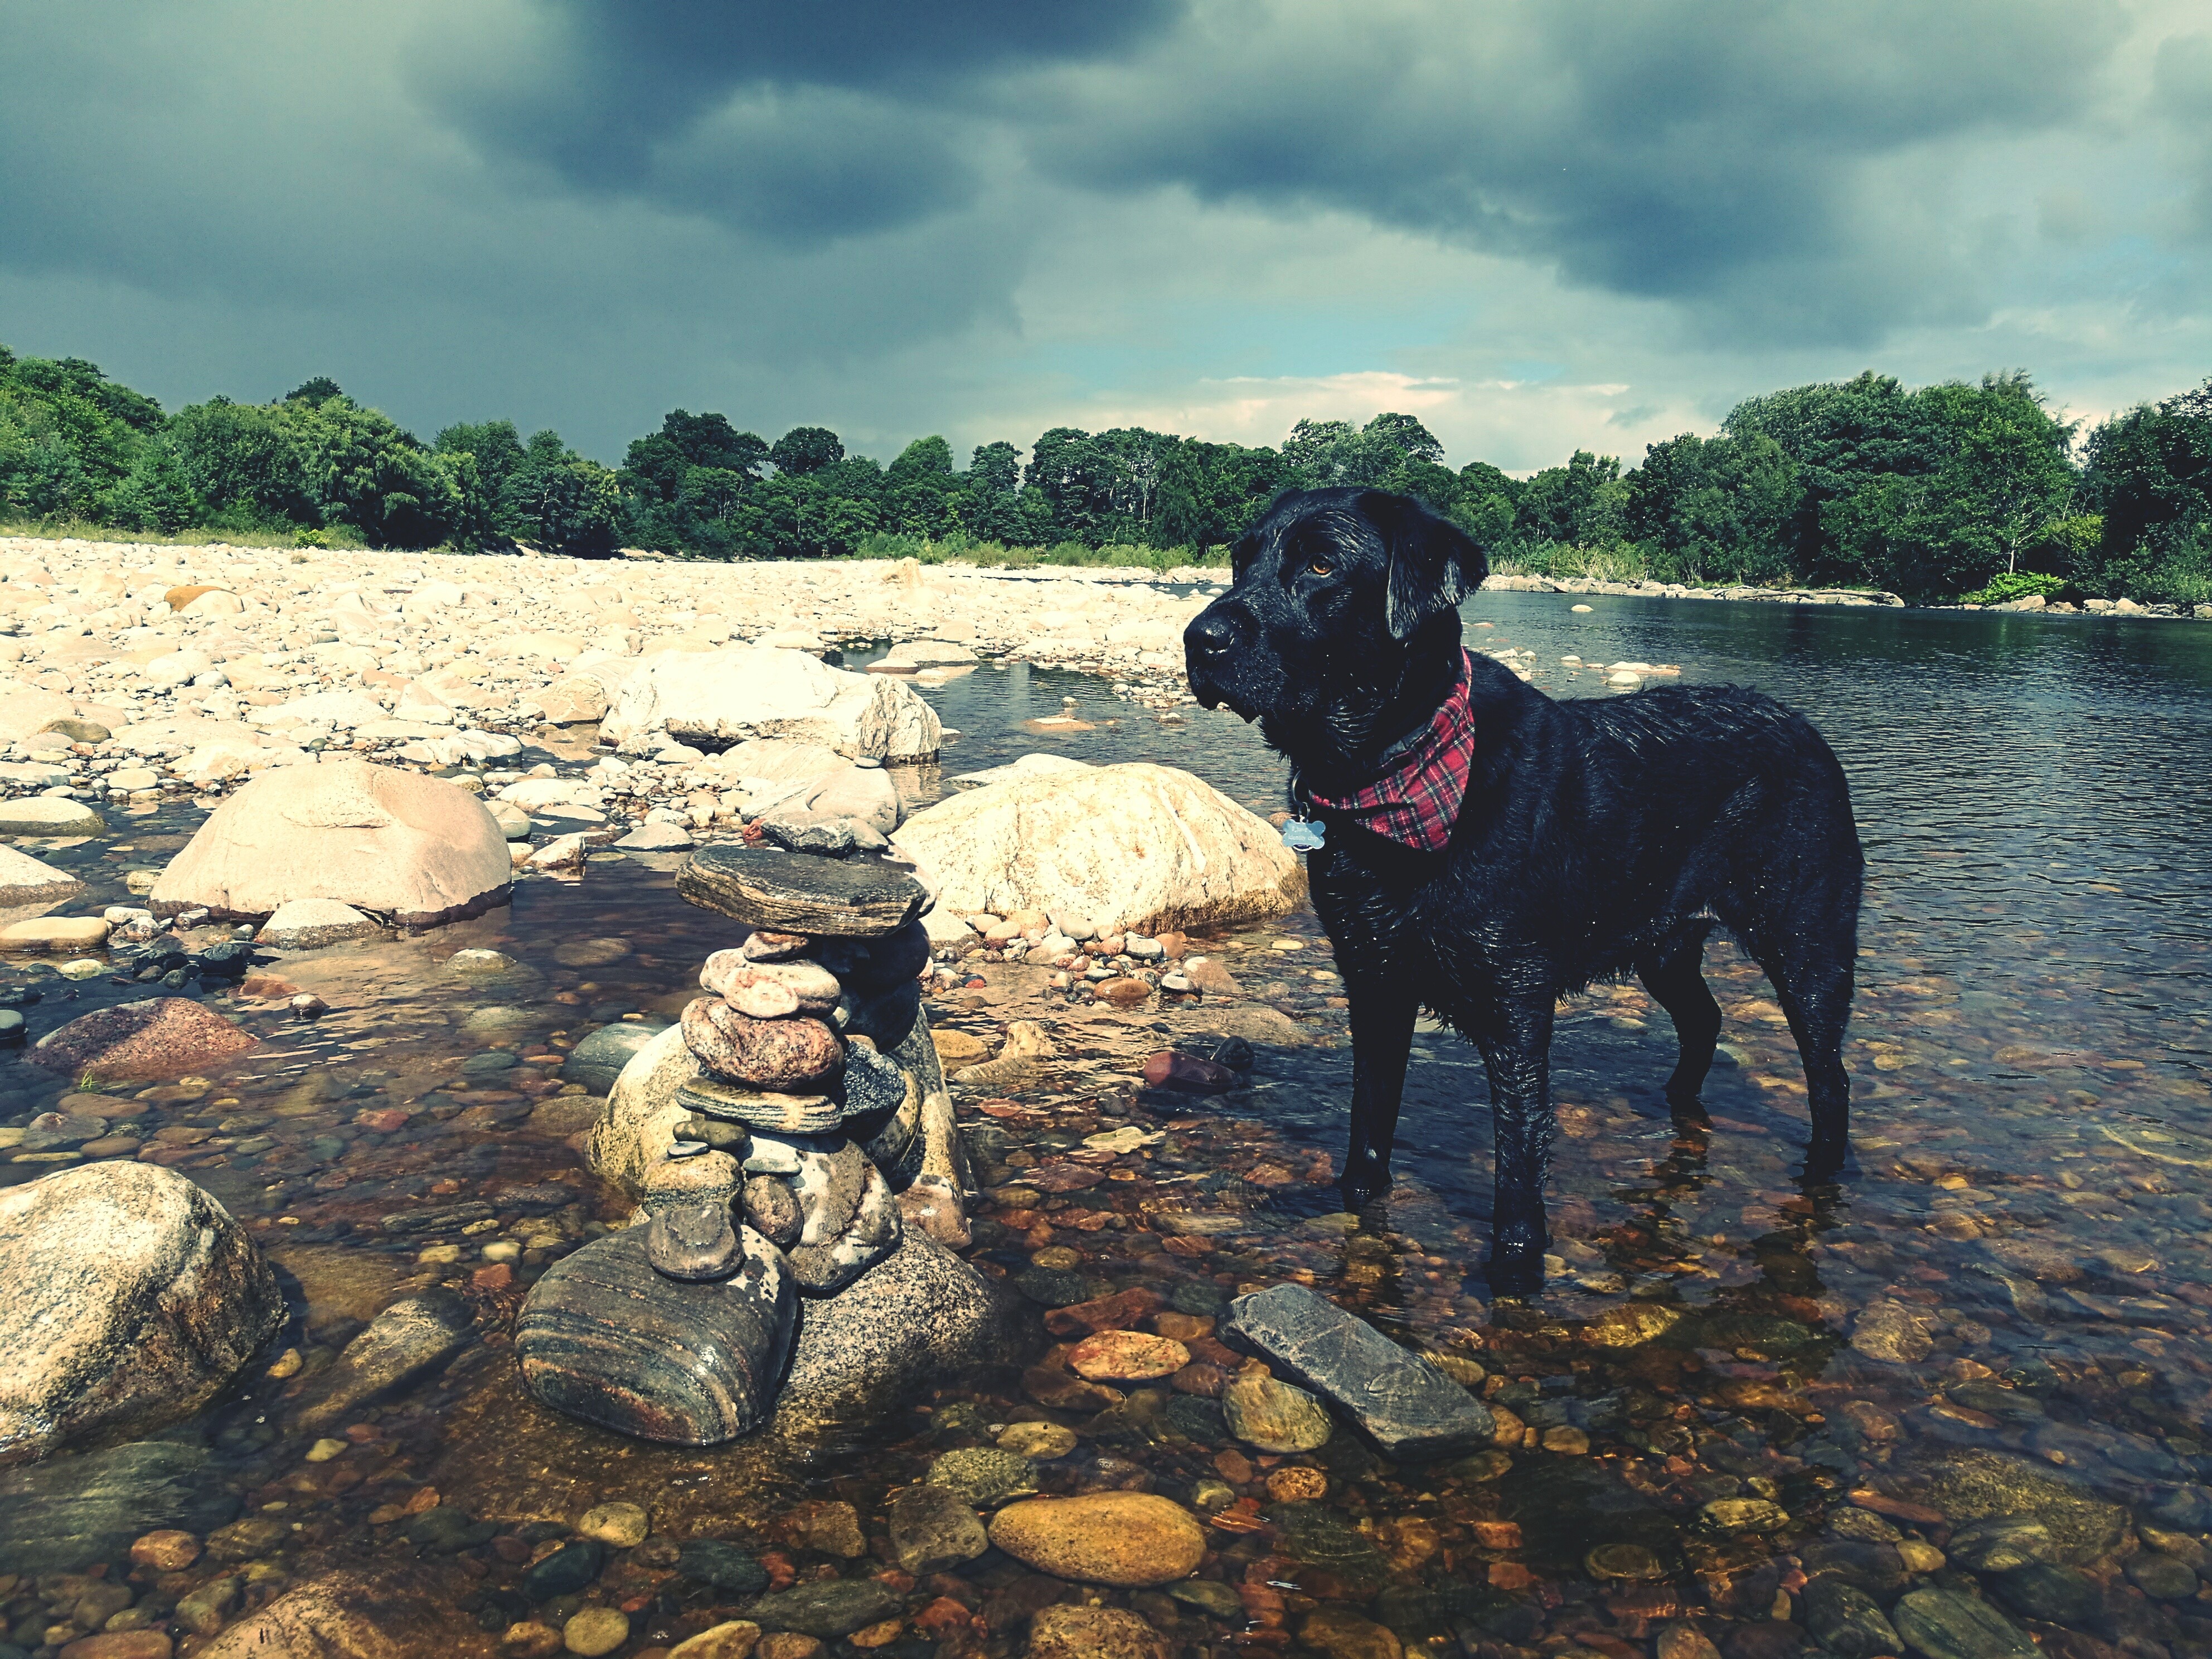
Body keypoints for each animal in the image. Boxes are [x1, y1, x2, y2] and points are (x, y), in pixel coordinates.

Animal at [1185, 486, 1858, 1292]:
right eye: (1240, 560)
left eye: (1320, 563)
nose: (1199, 639)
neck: (1389, 775)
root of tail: (1806, 729)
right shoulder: (1374, 981)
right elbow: (1369, 1128)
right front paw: (1356, 1205)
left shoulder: (1514, 1002)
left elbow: (1518, 1160)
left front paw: (1514, 1270)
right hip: (1664, 945)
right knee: (1705, 1020)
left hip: (1808, 945)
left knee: (1829, 1078)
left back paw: (1822, 1177)